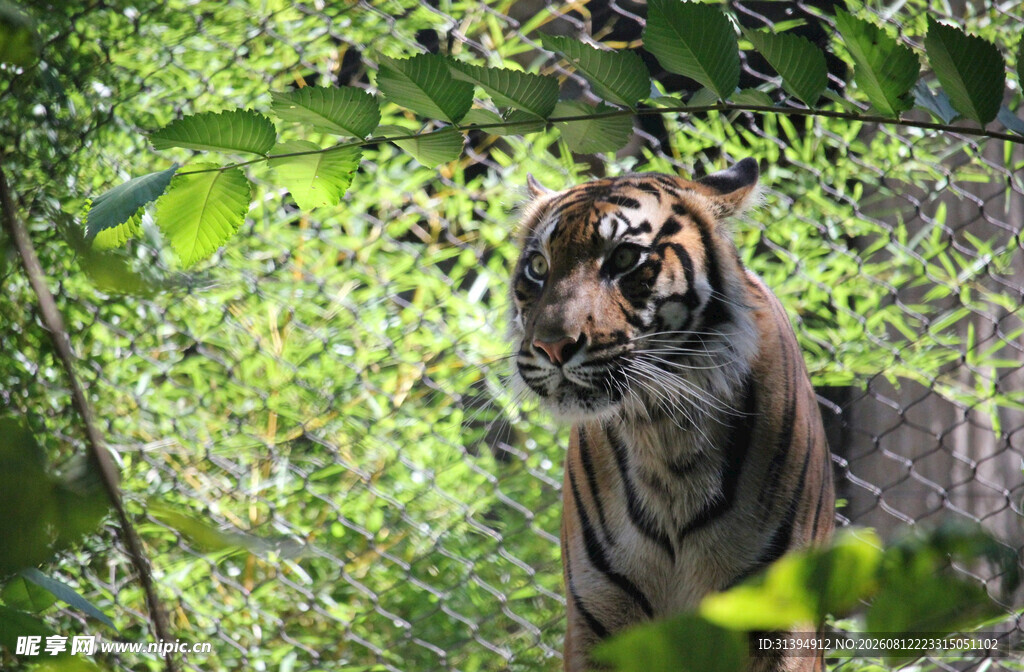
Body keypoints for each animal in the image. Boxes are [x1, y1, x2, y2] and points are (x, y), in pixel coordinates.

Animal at [508, 158, 835, 672]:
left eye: (624, 259)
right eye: (538, 266)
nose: (551, 347)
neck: (665, 435)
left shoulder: (781, 615)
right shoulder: (598, 616)